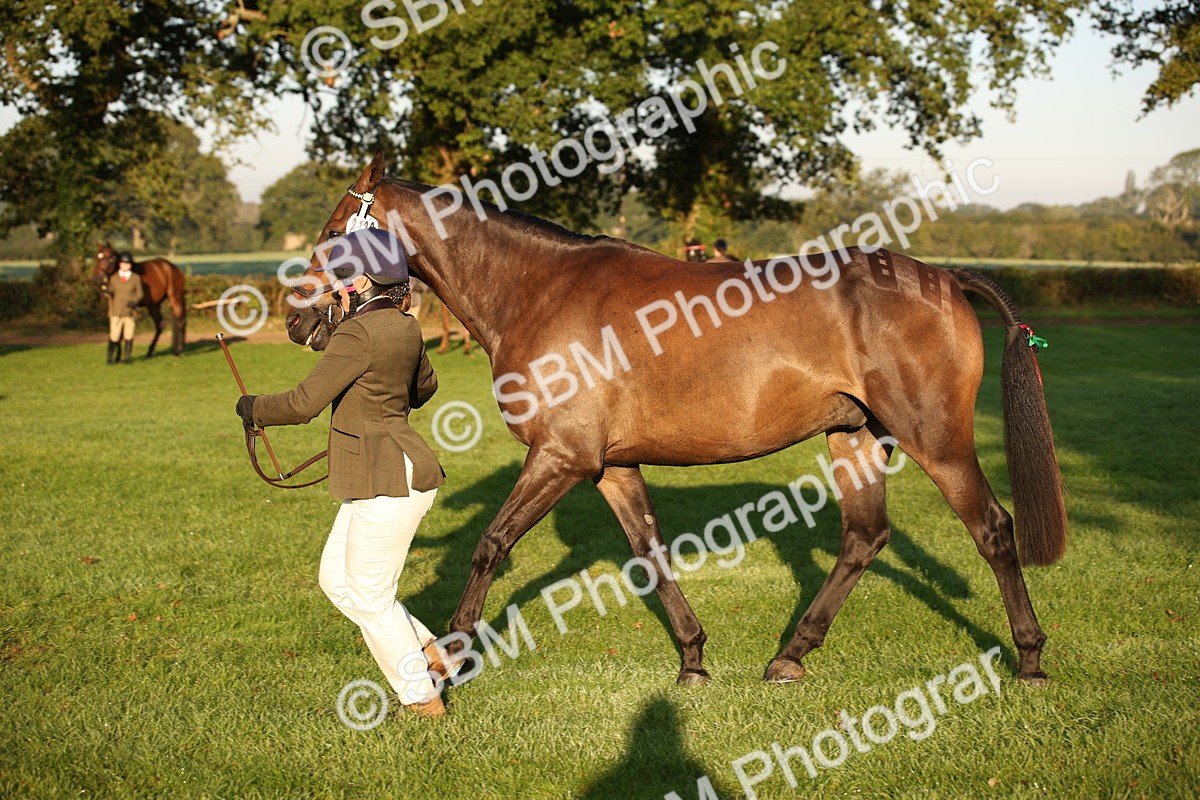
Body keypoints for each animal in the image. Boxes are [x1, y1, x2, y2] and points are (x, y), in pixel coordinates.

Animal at [284, 152, 1067, 687]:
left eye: (334, 230)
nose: (297, 321)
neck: (538, 289)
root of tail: (942, 277)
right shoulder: (610, 467)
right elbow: (650, 553)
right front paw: (692, 659)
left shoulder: (561, 457)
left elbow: (491, 545)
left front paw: (452, 657)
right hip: (852, 437)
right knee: (865, 538)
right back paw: (790, 655)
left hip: (936, 441)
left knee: (993, 531)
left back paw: (1030, 658)